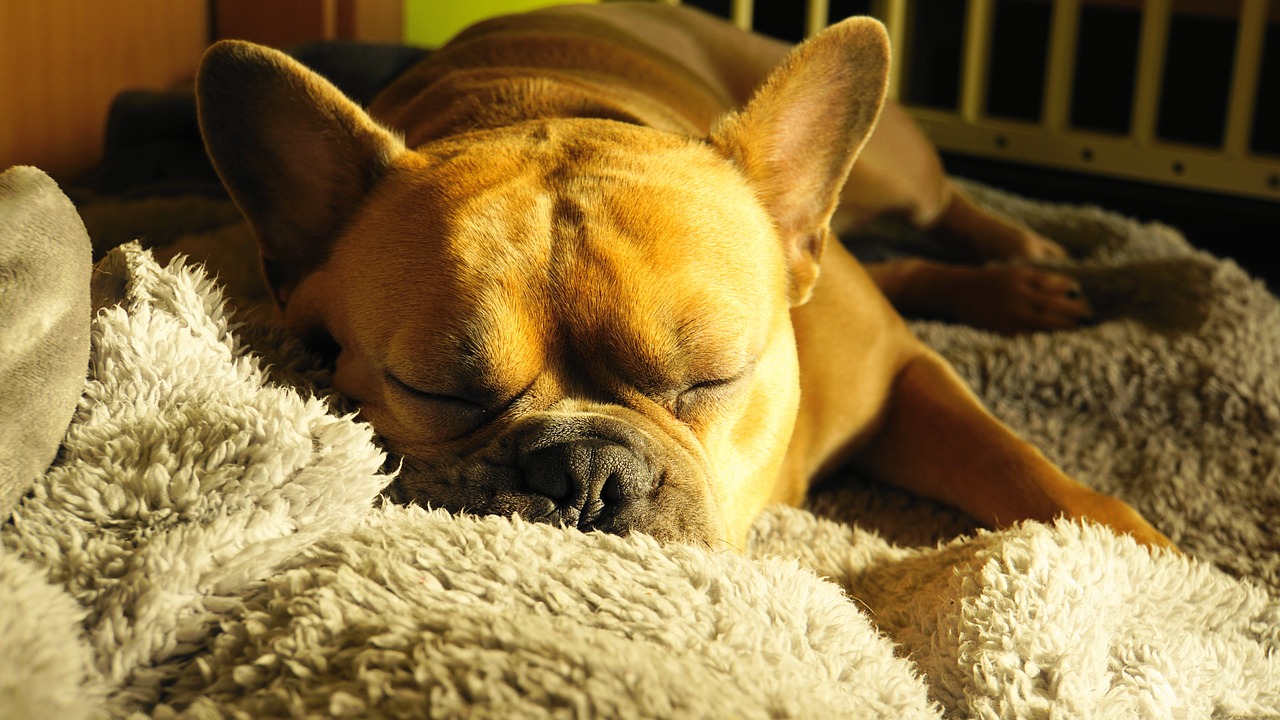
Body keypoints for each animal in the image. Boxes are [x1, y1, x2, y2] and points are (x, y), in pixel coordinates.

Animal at [197, 2, 1172, 545]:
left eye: (713, 378)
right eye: (433, 390)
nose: (585, 471)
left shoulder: (904, 374)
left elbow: (1019, 463)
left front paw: (1146, 552)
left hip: (895, 173)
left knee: (941, 209)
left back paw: (1027, 263)